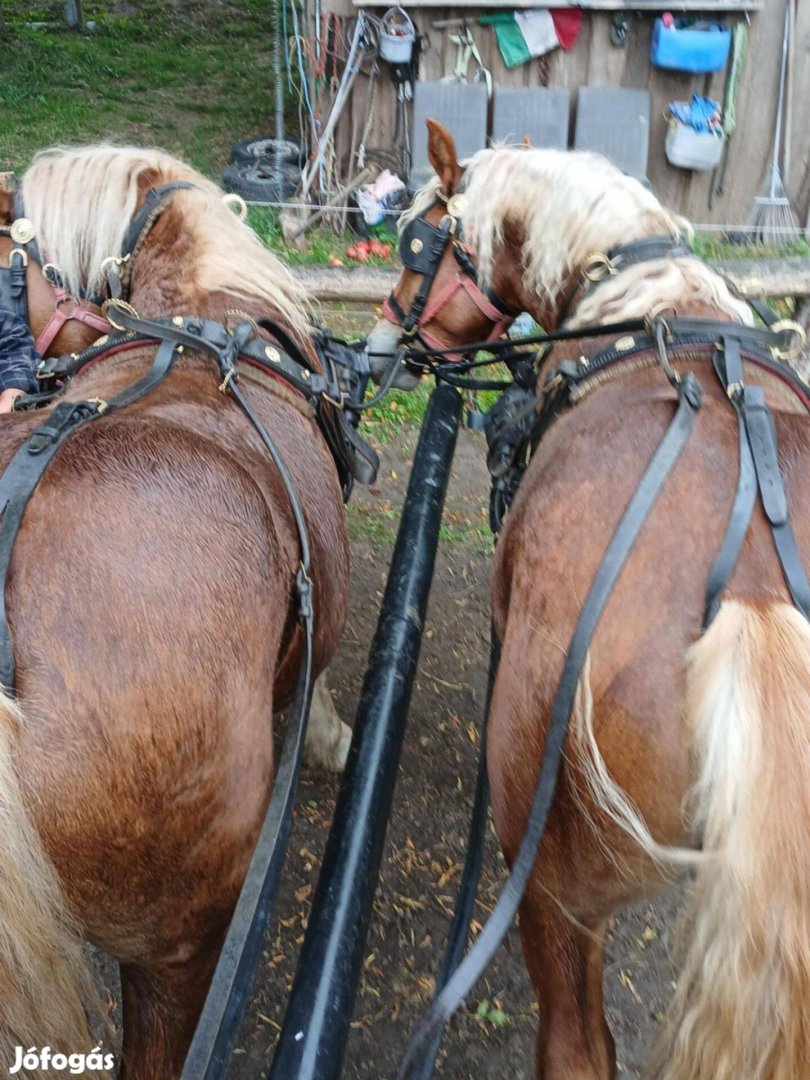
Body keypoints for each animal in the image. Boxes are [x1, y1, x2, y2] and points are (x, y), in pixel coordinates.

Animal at [371, 122, 810, 1080]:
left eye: (418, 241)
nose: (385, 342)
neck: (647, 300)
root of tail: (753, 595)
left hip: (554, 883)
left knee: (577, 1045)